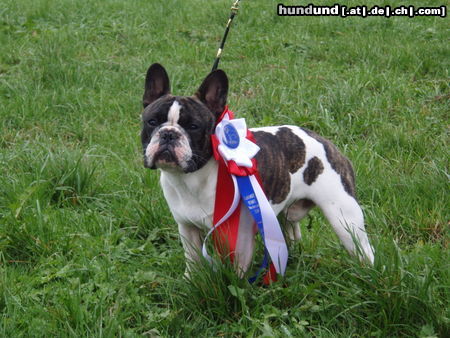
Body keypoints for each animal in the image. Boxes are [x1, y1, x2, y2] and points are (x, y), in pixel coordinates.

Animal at [142, 62, 374, 274]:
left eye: (193, 126)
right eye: (152, 122)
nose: (169, 134)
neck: (191, 178)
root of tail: (323, 141)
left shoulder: (239, 237)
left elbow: (237, 275)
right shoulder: (187, 228)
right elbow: (193, 262)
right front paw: (191, 281)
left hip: (343, 216)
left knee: (363, 248)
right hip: (285, 214)